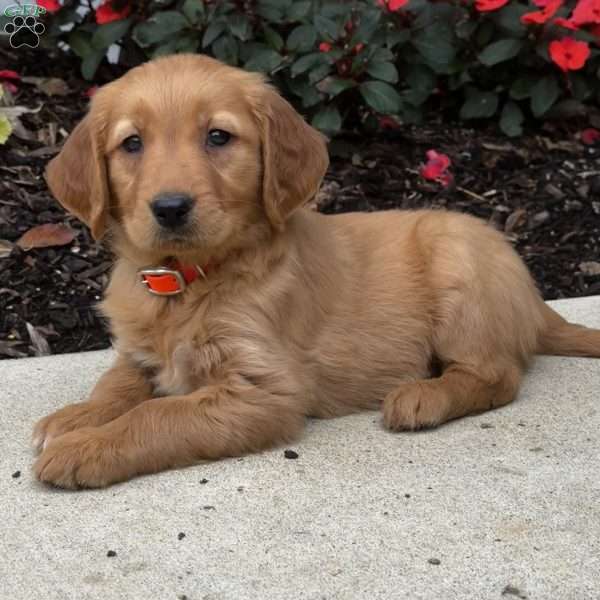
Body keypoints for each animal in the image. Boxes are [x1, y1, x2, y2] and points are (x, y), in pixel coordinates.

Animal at [34, 55, 600, 488]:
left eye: (218, 136)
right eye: (132, 144)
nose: (170, 208)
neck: (188, 281)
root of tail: (535, 302)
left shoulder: (264, 391)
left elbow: (157, 413)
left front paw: (85, 447)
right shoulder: (139, 352)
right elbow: (117, 386)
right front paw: (74, 418)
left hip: (458, 261)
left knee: (497, 375)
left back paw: (422, 396)